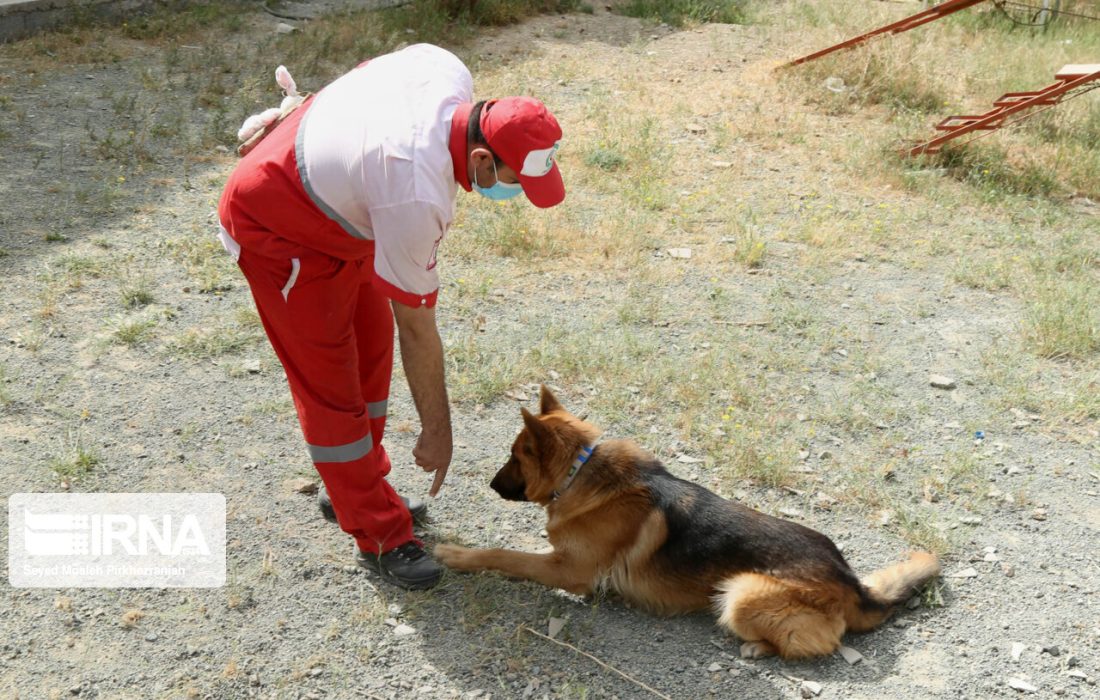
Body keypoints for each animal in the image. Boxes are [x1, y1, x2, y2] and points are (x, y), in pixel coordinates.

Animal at [433, 385, 941, 660]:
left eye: (514, 456)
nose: (491, 483)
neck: (582, 469)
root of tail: (854, 586)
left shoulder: (569, 571)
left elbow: (504, 554)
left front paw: (456, 553)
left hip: (740, 594)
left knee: (821, 644)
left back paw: (759, 648)